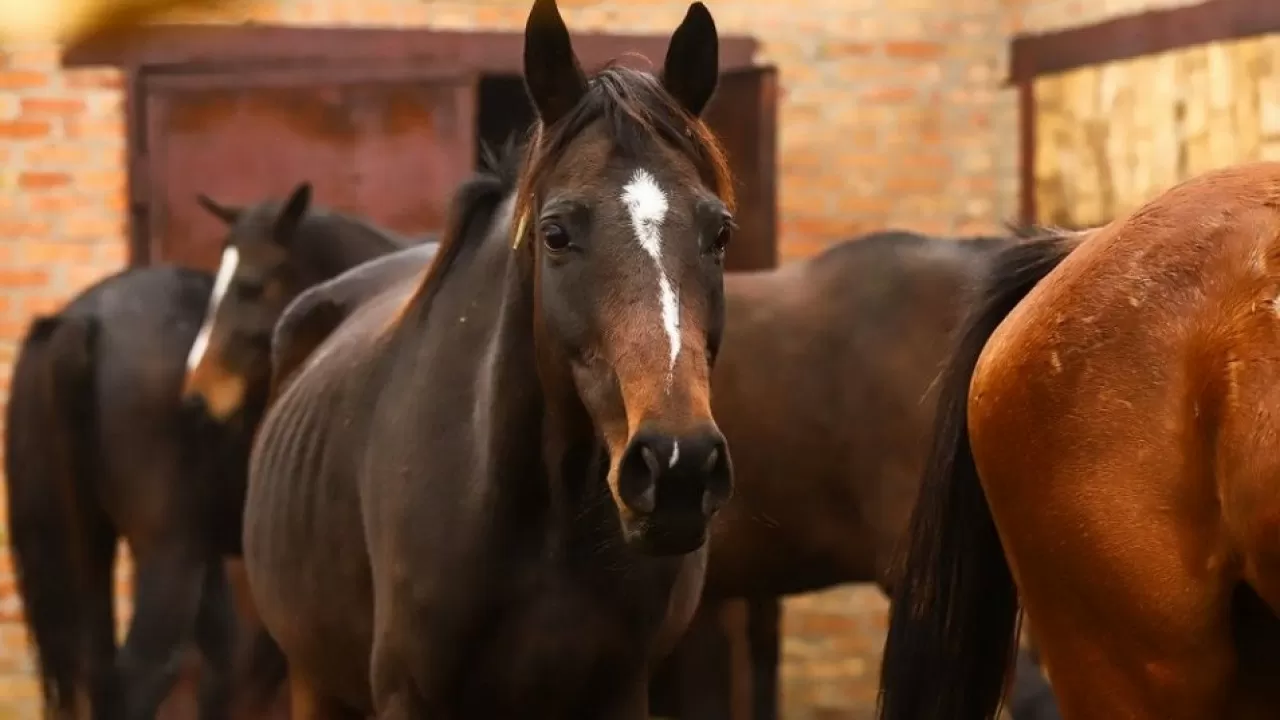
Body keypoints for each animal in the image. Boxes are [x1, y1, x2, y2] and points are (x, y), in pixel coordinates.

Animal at [7, 180, 422, 717]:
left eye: (251, 286)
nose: (197, 397)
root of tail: (84, 322)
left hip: (93, 545)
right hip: (171, 554)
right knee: (141, 675)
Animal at [240, 0, 742, 712]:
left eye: (719, 232)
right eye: (555, 234)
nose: (680, 464)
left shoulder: (621, 689)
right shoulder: (408, 694)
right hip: (313, 681)